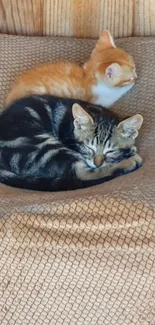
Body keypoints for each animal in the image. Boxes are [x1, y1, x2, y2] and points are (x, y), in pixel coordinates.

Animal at [0, 94, 143, 190]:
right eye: (89, 148)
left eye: (110, 151)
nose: (97, 163)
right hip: (43, 145)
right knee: (81, 174)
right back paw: (128, 162)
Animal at [5, 29, 137, 107]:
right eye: (129, 79)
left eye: (134, 67)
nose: (136, 76)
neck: (88, 76)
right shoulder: (99, 100)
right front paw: (128, 86)